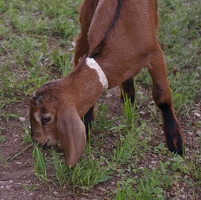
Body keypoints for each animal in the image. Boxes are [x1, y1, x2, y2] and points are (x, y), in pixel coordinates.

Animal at [29, 0, 185, 167]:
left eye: (46, 118)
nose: (37, 141)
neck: (125, 36)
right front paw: (86, 127)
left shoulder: (155, 54)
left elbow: (162, 97)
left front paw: (175, 142)